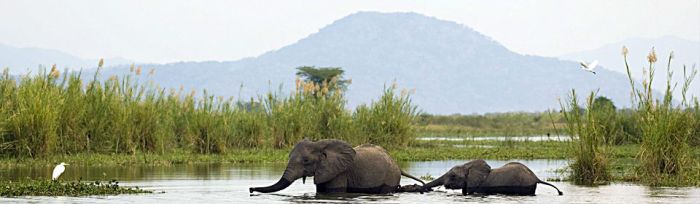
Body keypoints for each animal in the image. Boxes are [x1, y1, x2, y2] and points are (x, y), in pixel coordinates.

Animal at [249, 139, 424, 194]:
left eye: (306, 161)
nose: (250, 189)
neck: (320, 144)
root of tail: (397, 165)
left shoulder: (339, 172)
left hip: (390, 176)